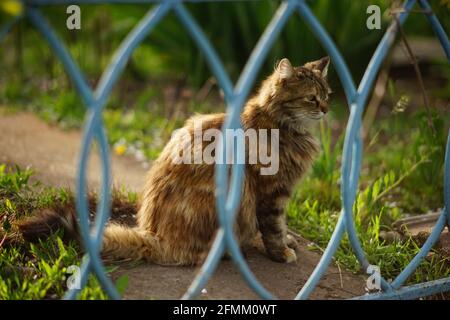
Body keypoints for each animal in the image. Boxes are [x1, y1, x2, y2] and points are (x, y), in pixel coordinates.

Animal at [19, 57, 330, 264]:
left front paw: (286, 240)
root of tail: (154, 235)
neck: (281, 125)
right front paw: (282, 252)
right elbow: (274, 228)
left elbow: (282, 226)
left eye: (327, 95)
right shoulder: (272, 192)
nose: (326, 110)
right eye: (311, 99)